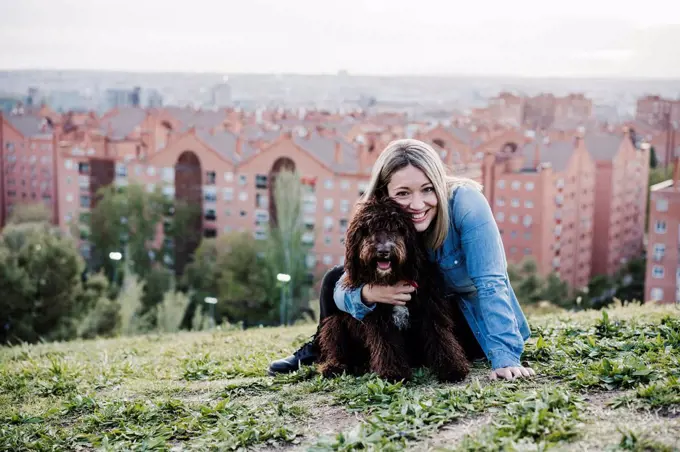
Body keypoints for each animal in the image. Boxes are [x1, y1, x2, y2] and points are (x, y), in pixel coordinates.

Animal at [314, 197, 470, 382]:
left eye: (397, 228)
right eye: (368, 229)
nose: (383, 251)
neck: (395, 277)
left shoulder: (431, 308)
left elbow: (440, 336)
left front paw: (451, 368)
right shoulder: (380, 319)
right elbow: (387, 344)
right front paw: (393, 373)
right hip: (336, 323)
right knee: (337, 348)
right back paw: (334, 366)